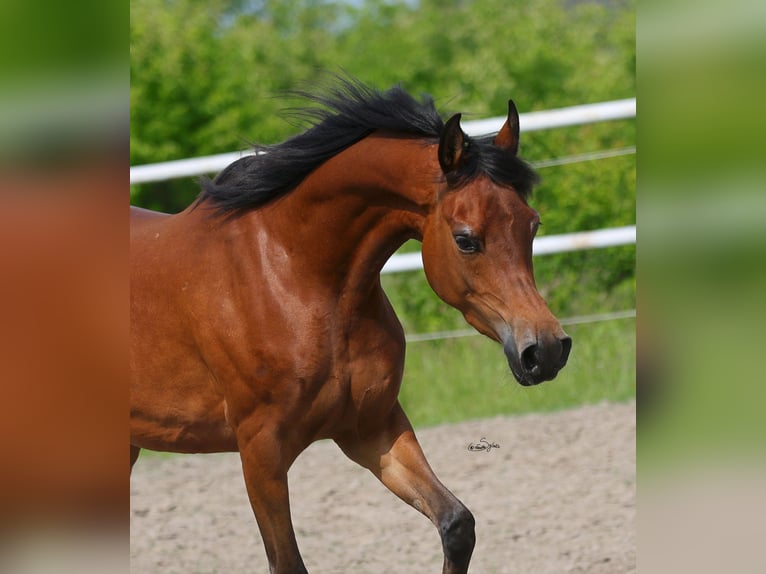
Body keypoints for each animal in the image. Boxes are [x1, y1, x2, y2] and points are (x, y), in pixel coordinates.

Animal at [130, 79, 571, 574]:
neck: (295, 277)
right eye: (466, 239)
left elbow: (457, 524)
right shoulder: (260, 451)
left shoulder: (371, 428)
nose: (546, 350)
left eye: (532, 225)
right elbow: (287, 562)